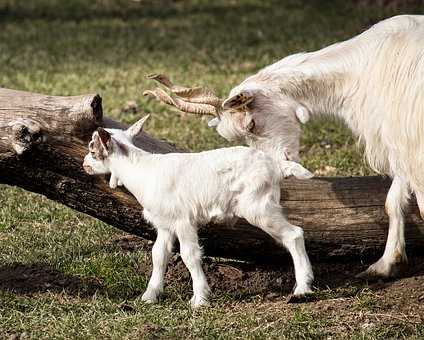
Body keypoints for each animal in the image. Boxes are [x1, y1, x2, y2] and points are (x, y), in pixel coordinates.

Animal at [83, 115, 314, 306]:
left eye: (93, 150)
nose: (85, 164)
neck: (142, 171)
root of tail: (276, 167)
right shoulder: (165, 224)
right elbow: (158, 254)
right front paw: (150, 296)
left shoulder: (183, 220)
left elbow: (190, 255)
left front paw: (200, 298)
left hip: (259, 206)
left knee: (294, 234)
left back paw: (302, 288)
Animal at [212, 15, 424, 278]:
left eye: (251, 124)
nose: (276, 167)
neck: (360, 70)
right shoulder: (399, 143)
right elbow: (392, 202)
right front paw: (386, 264)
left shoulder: (410, 143)